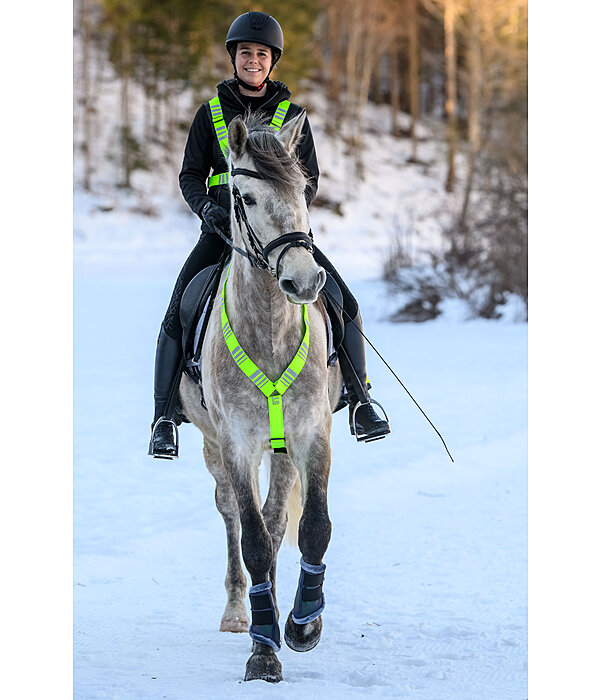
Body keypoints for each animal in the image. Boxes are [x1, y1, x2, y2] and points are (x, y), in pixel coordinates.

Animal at [179, 110, 342, 684]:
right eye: (245, 198)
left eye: (304, 190)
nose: (305, 281)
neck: (269, 332)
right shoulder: (237, 444)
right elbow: (251, 539)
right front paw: (263, 650)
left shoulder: (311, 433)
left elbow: (312, 527)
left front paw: (303, 625)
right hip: (213, 447)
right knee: (234, 516)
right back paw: (238, 613)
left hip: (285, 450)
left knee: (277, 522)